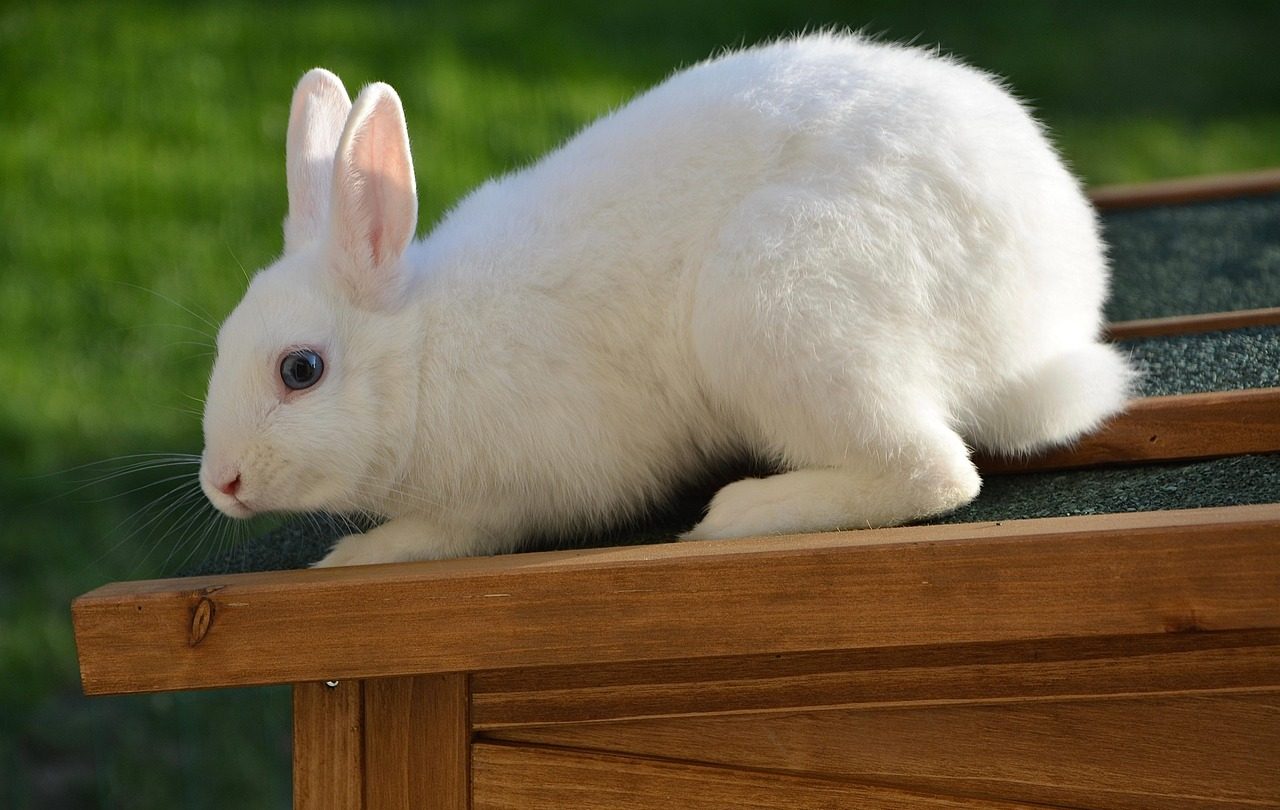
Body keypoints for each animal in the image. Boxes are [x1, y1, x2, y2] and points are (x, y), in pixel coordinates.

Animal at [199, 32, 1133, 567]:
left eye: (301, 370)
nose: (223, 483)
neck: (424, 351)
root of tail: (1038, 336)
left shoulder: (506, 498)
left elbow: (446, 537)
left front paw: (354, 556)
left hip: (776, 308)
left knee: (935, 472)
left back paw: (740, 515)